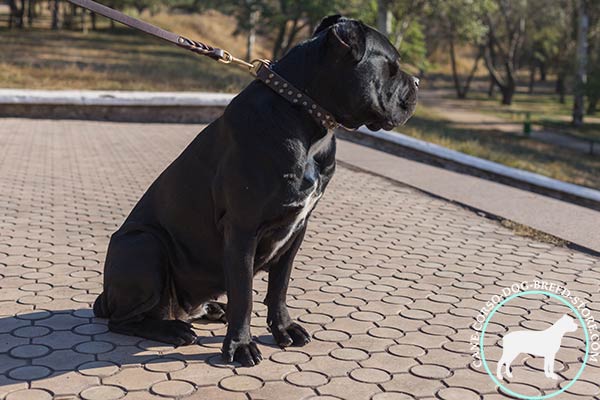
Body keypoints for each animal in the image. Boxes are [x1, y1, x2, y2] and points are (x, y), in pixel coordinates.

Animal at [94, 14, 420, 366]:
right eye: (393, 66)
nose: (417, 81)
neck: (307, 115)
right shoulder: (242, 229)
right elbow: (244, 294)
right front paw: (239, 345)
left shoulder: (297, 229)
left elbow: (279, 286)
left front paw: (284, 329)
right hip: (144, 243)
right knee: (123, 320)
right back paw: (172, 330)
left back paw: (211, 309)